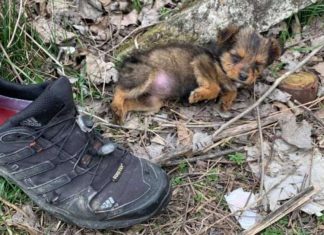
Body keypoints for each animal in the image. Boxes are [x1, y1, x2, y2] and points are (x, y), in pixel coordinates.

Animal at [110, 25, 280, 123]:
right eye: (236, 57)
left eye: (258, 64)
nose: (244, 77)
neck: (219, 60)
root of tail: (127, 62)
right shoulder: (201, 62)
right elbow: (215, 87)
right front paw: (199, 95)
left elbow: (232, 89)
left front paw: (226, 101)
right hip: (144, 75)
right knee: (119, 89)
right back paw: (117, 106)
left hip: (152, 102)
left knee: (129, 101)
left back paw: (120, 112)